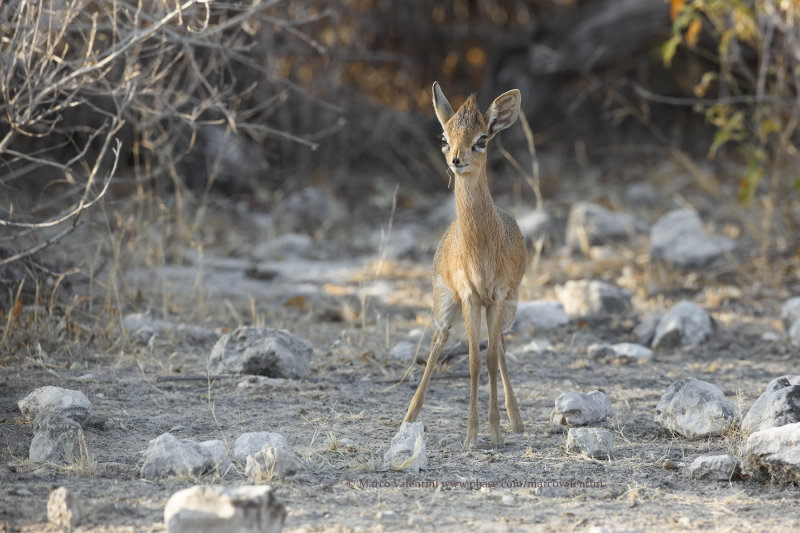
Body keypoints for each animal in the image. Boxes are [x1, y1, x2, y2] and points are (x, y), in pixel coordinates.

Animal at [404, 82, 528, 448]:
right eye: (445, 137)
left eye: (482, 138)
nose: (457, 160)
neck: (482, 247)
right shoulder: (470, 296)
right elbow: (473, 362)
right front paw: (472, 436)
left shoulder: (497, 297)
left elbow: (489, 359)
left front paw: (496, 432)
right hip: (446, 302)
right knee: (438, 341)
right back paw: (409, 416)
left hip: (507, 308)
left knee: (501, 347)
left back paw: (516, 421)